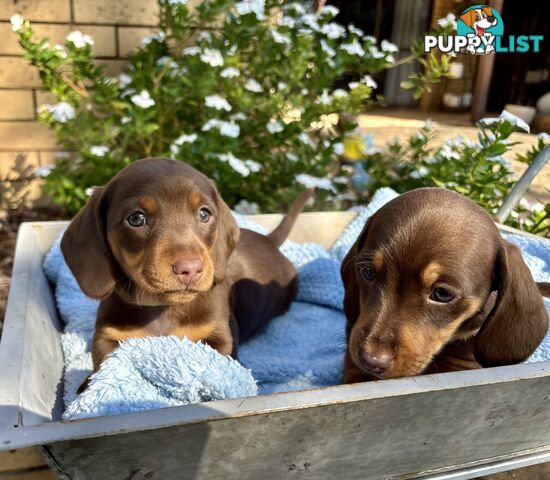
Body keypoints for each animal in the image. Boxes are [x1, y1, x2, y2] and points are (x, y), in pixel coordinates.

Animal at [62, 158, 310, 376]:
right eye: (136, 219)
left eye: (204, 213)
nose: (190, 269)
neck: (163, 308)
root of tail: (268, 240)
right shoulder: (107, 336)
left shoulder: (221, 337)